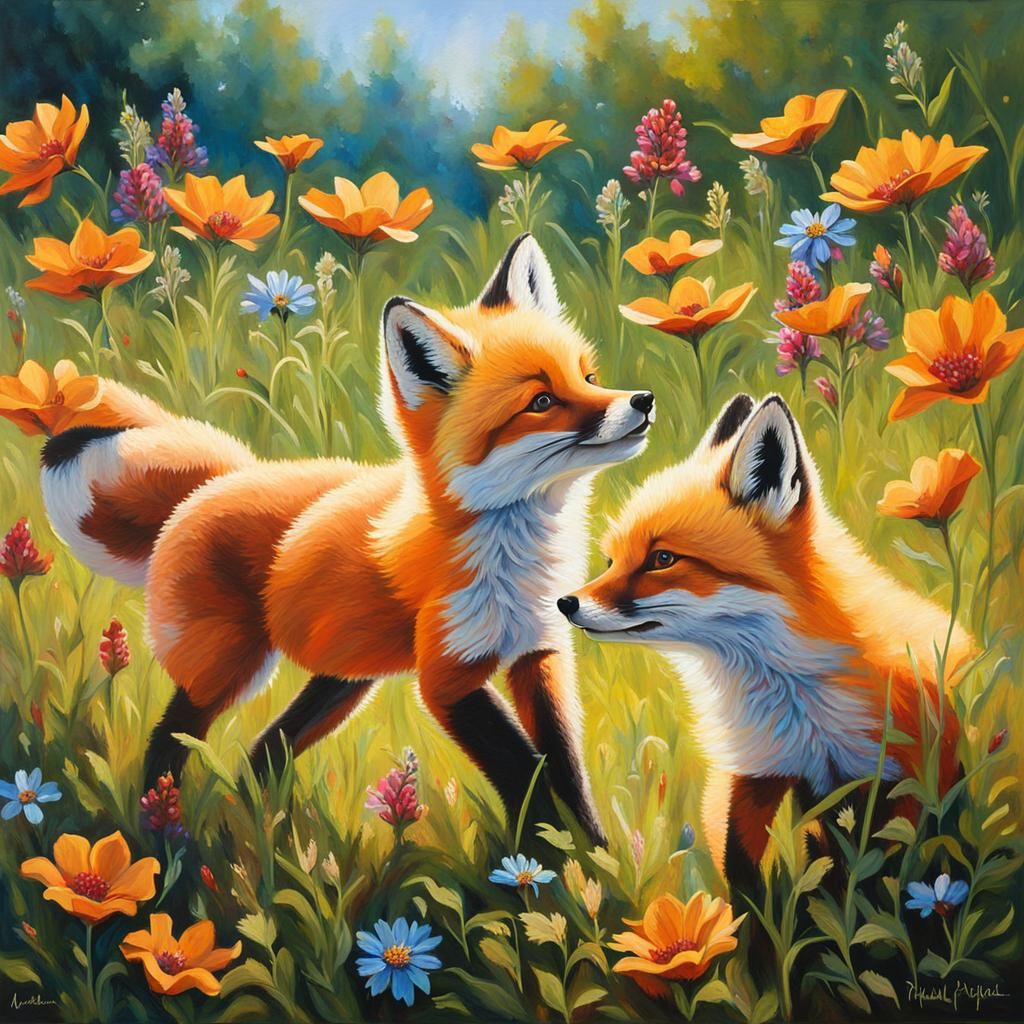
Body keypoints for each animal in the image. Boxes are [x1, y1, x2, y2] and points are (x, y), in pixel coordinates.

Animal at [36, 234, 655, 844]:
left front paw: (591, 852)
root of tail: (217, 481)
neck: (519, 556)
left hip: (342, 679)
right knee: (169, 740)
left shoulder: (538, 651)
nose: (643, 401)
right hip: (226, 666)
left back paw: (258, 829)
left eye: (589, 378)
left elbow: (565, 768)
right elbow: (525, 773)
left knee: (263, 752)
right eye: (541, 402)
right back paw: (162, 833)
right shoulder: (448, 673)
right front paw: (550, 855)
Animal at [556, 392, 970, 884]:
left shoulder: (899, 784)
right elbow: (750, 888)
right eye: (611, 561)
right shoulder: (753, 779)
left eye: (662, 559)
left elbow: (882, 879)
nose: (565, 603)